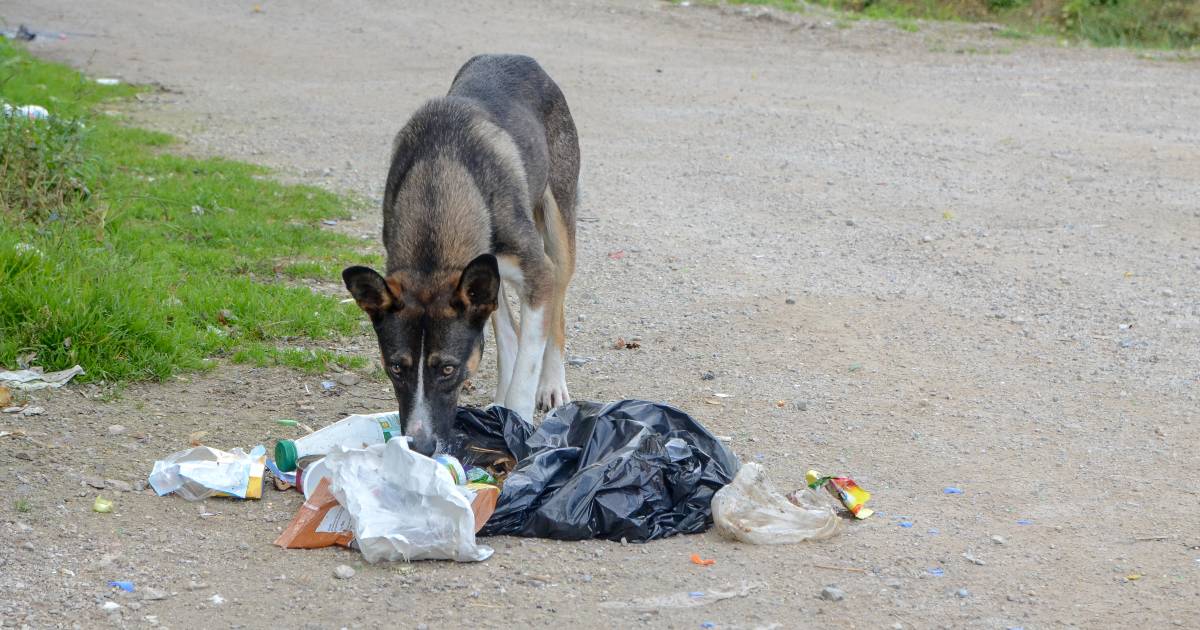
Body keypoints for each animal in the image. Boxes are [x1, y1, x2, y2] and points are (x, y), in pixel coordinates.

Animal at [340, 52, 578, 451]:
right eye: (396, 368)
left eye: (448, 369)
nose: (419, 446)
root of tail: (514, 56)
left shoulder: (537, 273)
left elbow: (527, 369)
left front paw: (518, 421)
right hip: (487, 274)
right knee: (507, 331)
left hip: (559, 228)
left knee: (557, 308)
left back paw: (552, 385)